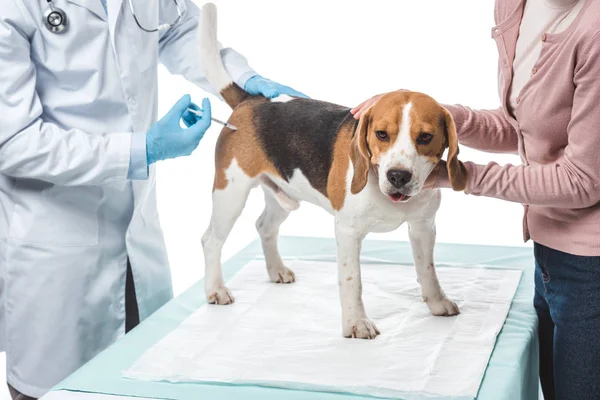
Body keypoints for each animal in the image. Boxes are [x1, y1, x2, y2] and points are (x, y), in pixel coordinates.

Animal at [199, 3, 466, 340]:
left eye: (426, 137)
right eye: (381, 134)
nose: (398, 176)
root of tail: (252, 100)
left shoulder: (423, 227)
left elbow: (427, 269)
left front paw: (437, 302)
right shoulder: (348, 232)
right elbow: (352, 281)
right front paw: (356, 323)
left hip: (283, 194)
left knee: (264, 226)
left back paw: (276, 270)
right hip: (230, 193)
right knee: (211, 240)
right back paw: (216, 289)